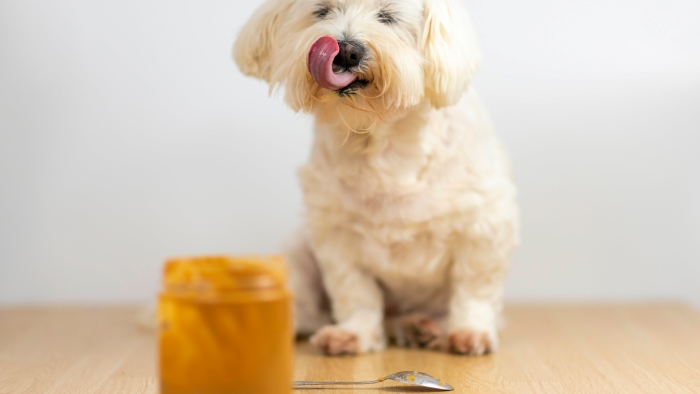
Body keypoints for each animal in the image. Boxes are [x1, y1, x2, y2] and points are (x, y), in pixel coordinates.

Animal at [235, 0, 520, 358]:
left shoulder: (484, 226)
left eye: (388, 16)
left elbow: (474, 288)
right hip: (299, 251)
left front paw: (471, 332)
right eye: (322, 11)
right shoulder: (336, 236)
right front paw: (354, 333)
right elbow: (355, 291)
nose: (346, 50)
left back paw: (421, 327)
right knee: (308, 309)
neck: (382, 141)